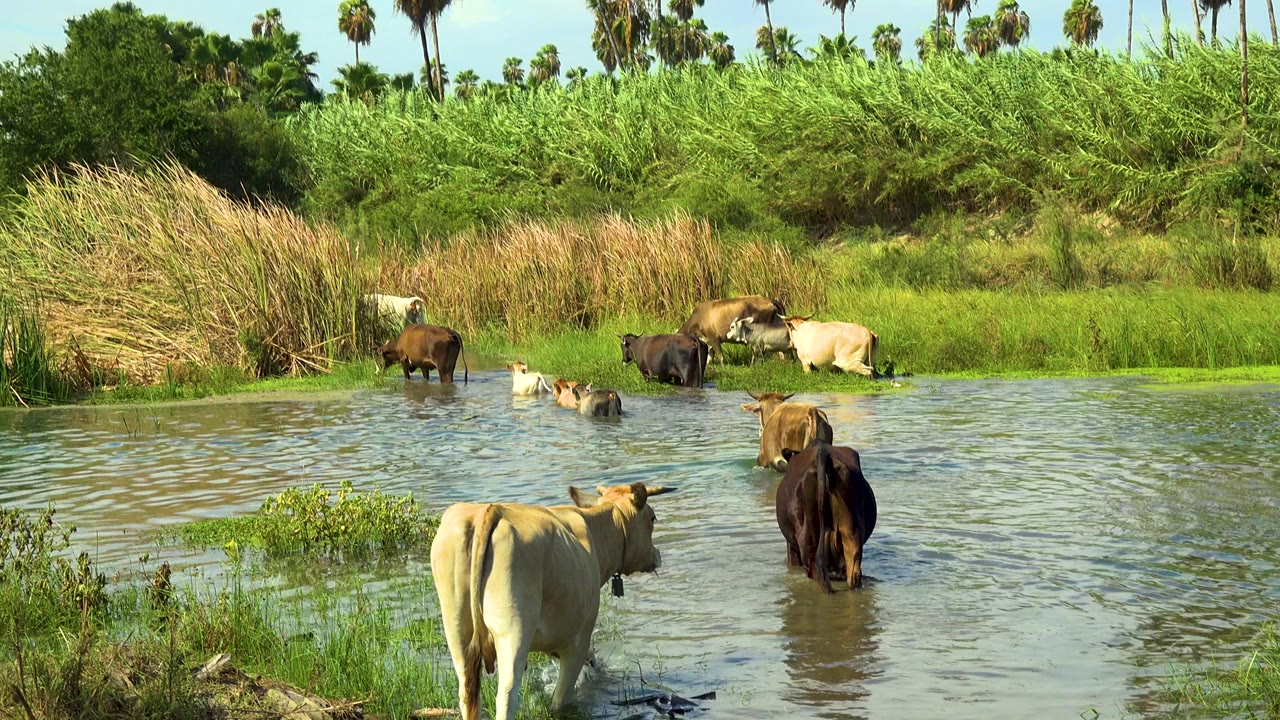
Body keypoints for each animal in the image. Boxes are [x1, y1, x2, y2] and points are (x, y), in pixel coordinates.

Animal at [430, 482, 678, 720]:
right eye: (652, 518)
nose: (657, 555)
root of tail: (489, 510)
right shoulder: (579, 637)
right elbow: (562, 698)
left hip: (456, 629)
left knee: (467, 693)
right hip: (513, 630)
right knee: (507, 695)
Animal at [775, 439, 877, 592]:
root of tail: (824, 453)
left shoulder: (791, 546)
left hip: (807, 537)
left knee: (817, 572)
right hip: (852, 531)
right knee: (854, 572)